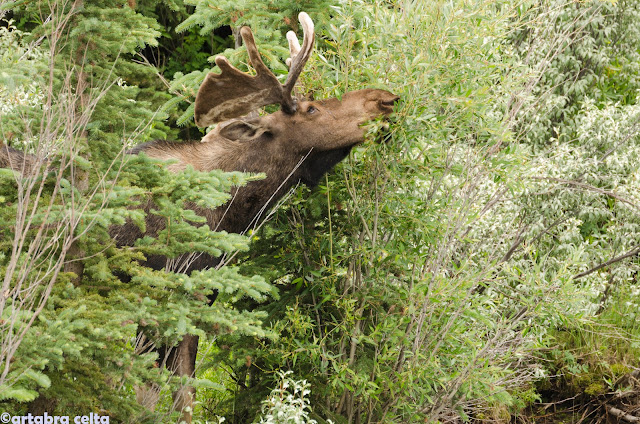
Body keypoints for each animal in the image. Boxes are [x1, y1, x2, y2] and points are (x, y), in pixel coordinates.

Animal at [1, 11, 400, 422]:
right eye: (311, 109)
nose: (383, 99)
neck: (230, 211)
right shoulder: (148, 298)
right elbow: (148, 395)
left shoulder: (195, 300)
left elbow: (171, 394)